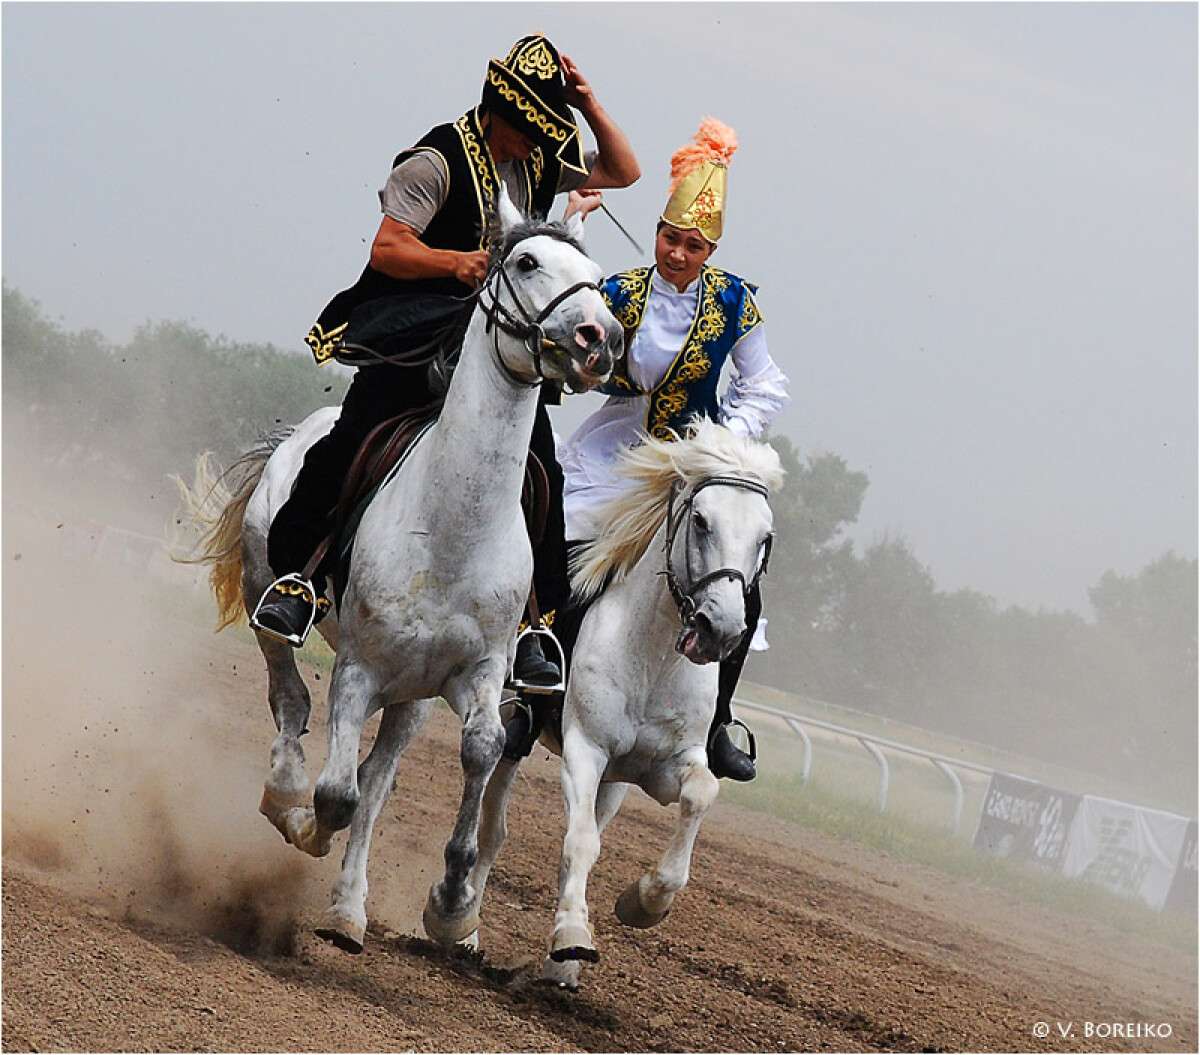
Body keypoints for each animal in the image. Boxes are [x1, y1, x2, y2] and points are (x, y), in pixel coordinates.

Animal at [184, 192, 628, 955]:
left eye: (598, 277)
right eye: (525, 261)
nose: (599, 338)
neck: (452, 527)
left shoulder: (480, 670)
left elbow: (476, 751)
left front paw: (451, 904)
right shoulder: (360, 666)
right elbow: (336, 791)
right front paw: (304, 824)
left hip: (412, 695)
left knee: (378, 775)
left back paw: (348, 909)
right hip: (268, 602)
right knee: (292, 702)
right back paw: (285, 796)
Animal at [463, 417, 782, 984]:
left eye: (764, 538)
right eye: (701, 521)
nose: (721, 627)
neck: (652, 657)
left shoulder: (667, 766)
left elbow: (699, 795)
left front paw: (644, 903)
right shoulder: (584, 750)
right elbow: (579, 841)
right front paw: (572, 934)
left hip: (613, 775)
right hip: (512, 725)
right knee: (493, 827)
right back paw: (465, 930)